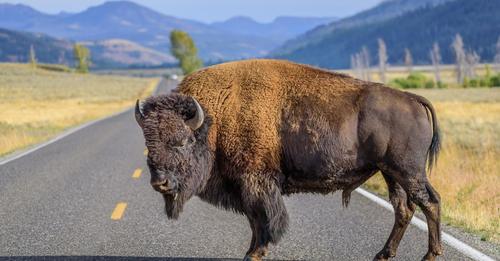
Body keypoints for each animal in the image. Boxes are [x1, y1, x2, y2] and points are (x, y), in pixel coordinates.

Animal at [133, 59, 442, 260]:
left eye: (182, 141)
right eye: (149, 143)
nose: (160, 182)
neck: (215, 116)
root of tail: (413, 99)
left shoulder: (255, 181)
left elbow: (262, 218)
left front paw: (255, 253)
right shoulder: (247, 185)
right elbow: (255, 219)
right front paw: (254, 251)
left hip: (407, 172)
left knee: (429, 203)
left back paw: (430, 255)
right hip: (391, 173)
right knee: (404, 209)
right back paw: (383, 254)